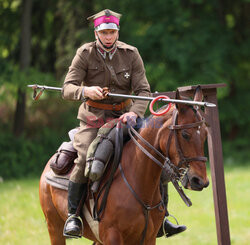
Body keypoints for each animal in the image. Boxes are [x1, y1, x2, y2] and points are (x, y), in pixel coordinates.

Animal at [40, 88, 210, 245]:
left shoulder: (148, 238)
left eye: (205, 135)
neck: (138, 182)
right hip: (54, 227)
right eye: (185, 135)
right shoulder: (112, 237)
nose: (200, 181)